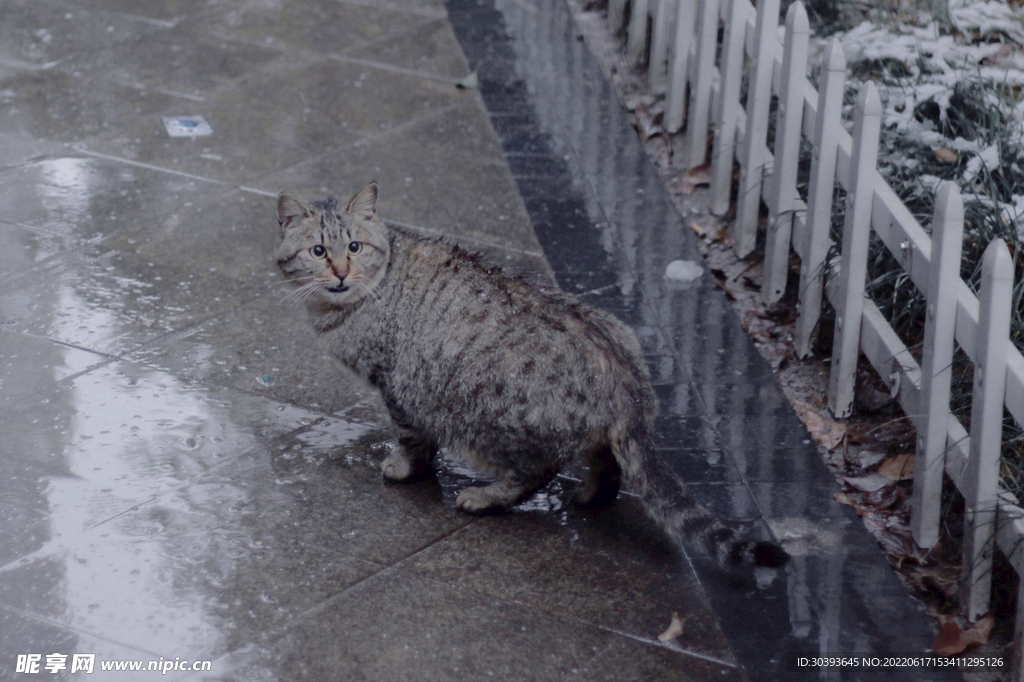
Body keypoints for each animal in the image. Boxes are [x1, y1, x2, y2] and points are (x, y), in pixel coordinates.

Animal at [276, 180, 786, 569]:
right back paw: (591, 496)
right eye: (318, 251)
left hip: (490, 414)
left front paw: (404, 468)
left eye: (354, 247)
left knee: (539, 470)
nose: (341, 272)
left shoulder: (397, 383)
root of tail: (626, 378)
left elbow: (410, 436)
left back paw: (486, 497)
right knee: (607, 462)